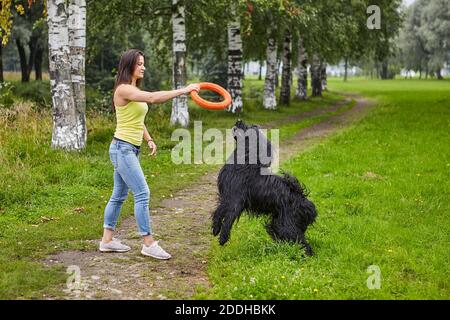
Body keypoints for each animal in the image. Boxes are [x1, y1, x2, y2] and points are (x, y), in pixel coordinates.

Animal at [213, 119, 318, 255]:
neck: (245, 161)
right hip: (277, 224)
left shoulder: (236, 201)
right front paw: (215, 228)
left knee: (303, 244)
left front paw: (223, 238)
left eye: (250, 128)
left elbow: (228, 219)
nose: (239, 120)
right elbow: (218, 212)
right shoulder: (226, 197)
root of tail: (306, 202)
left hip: (286, 226)